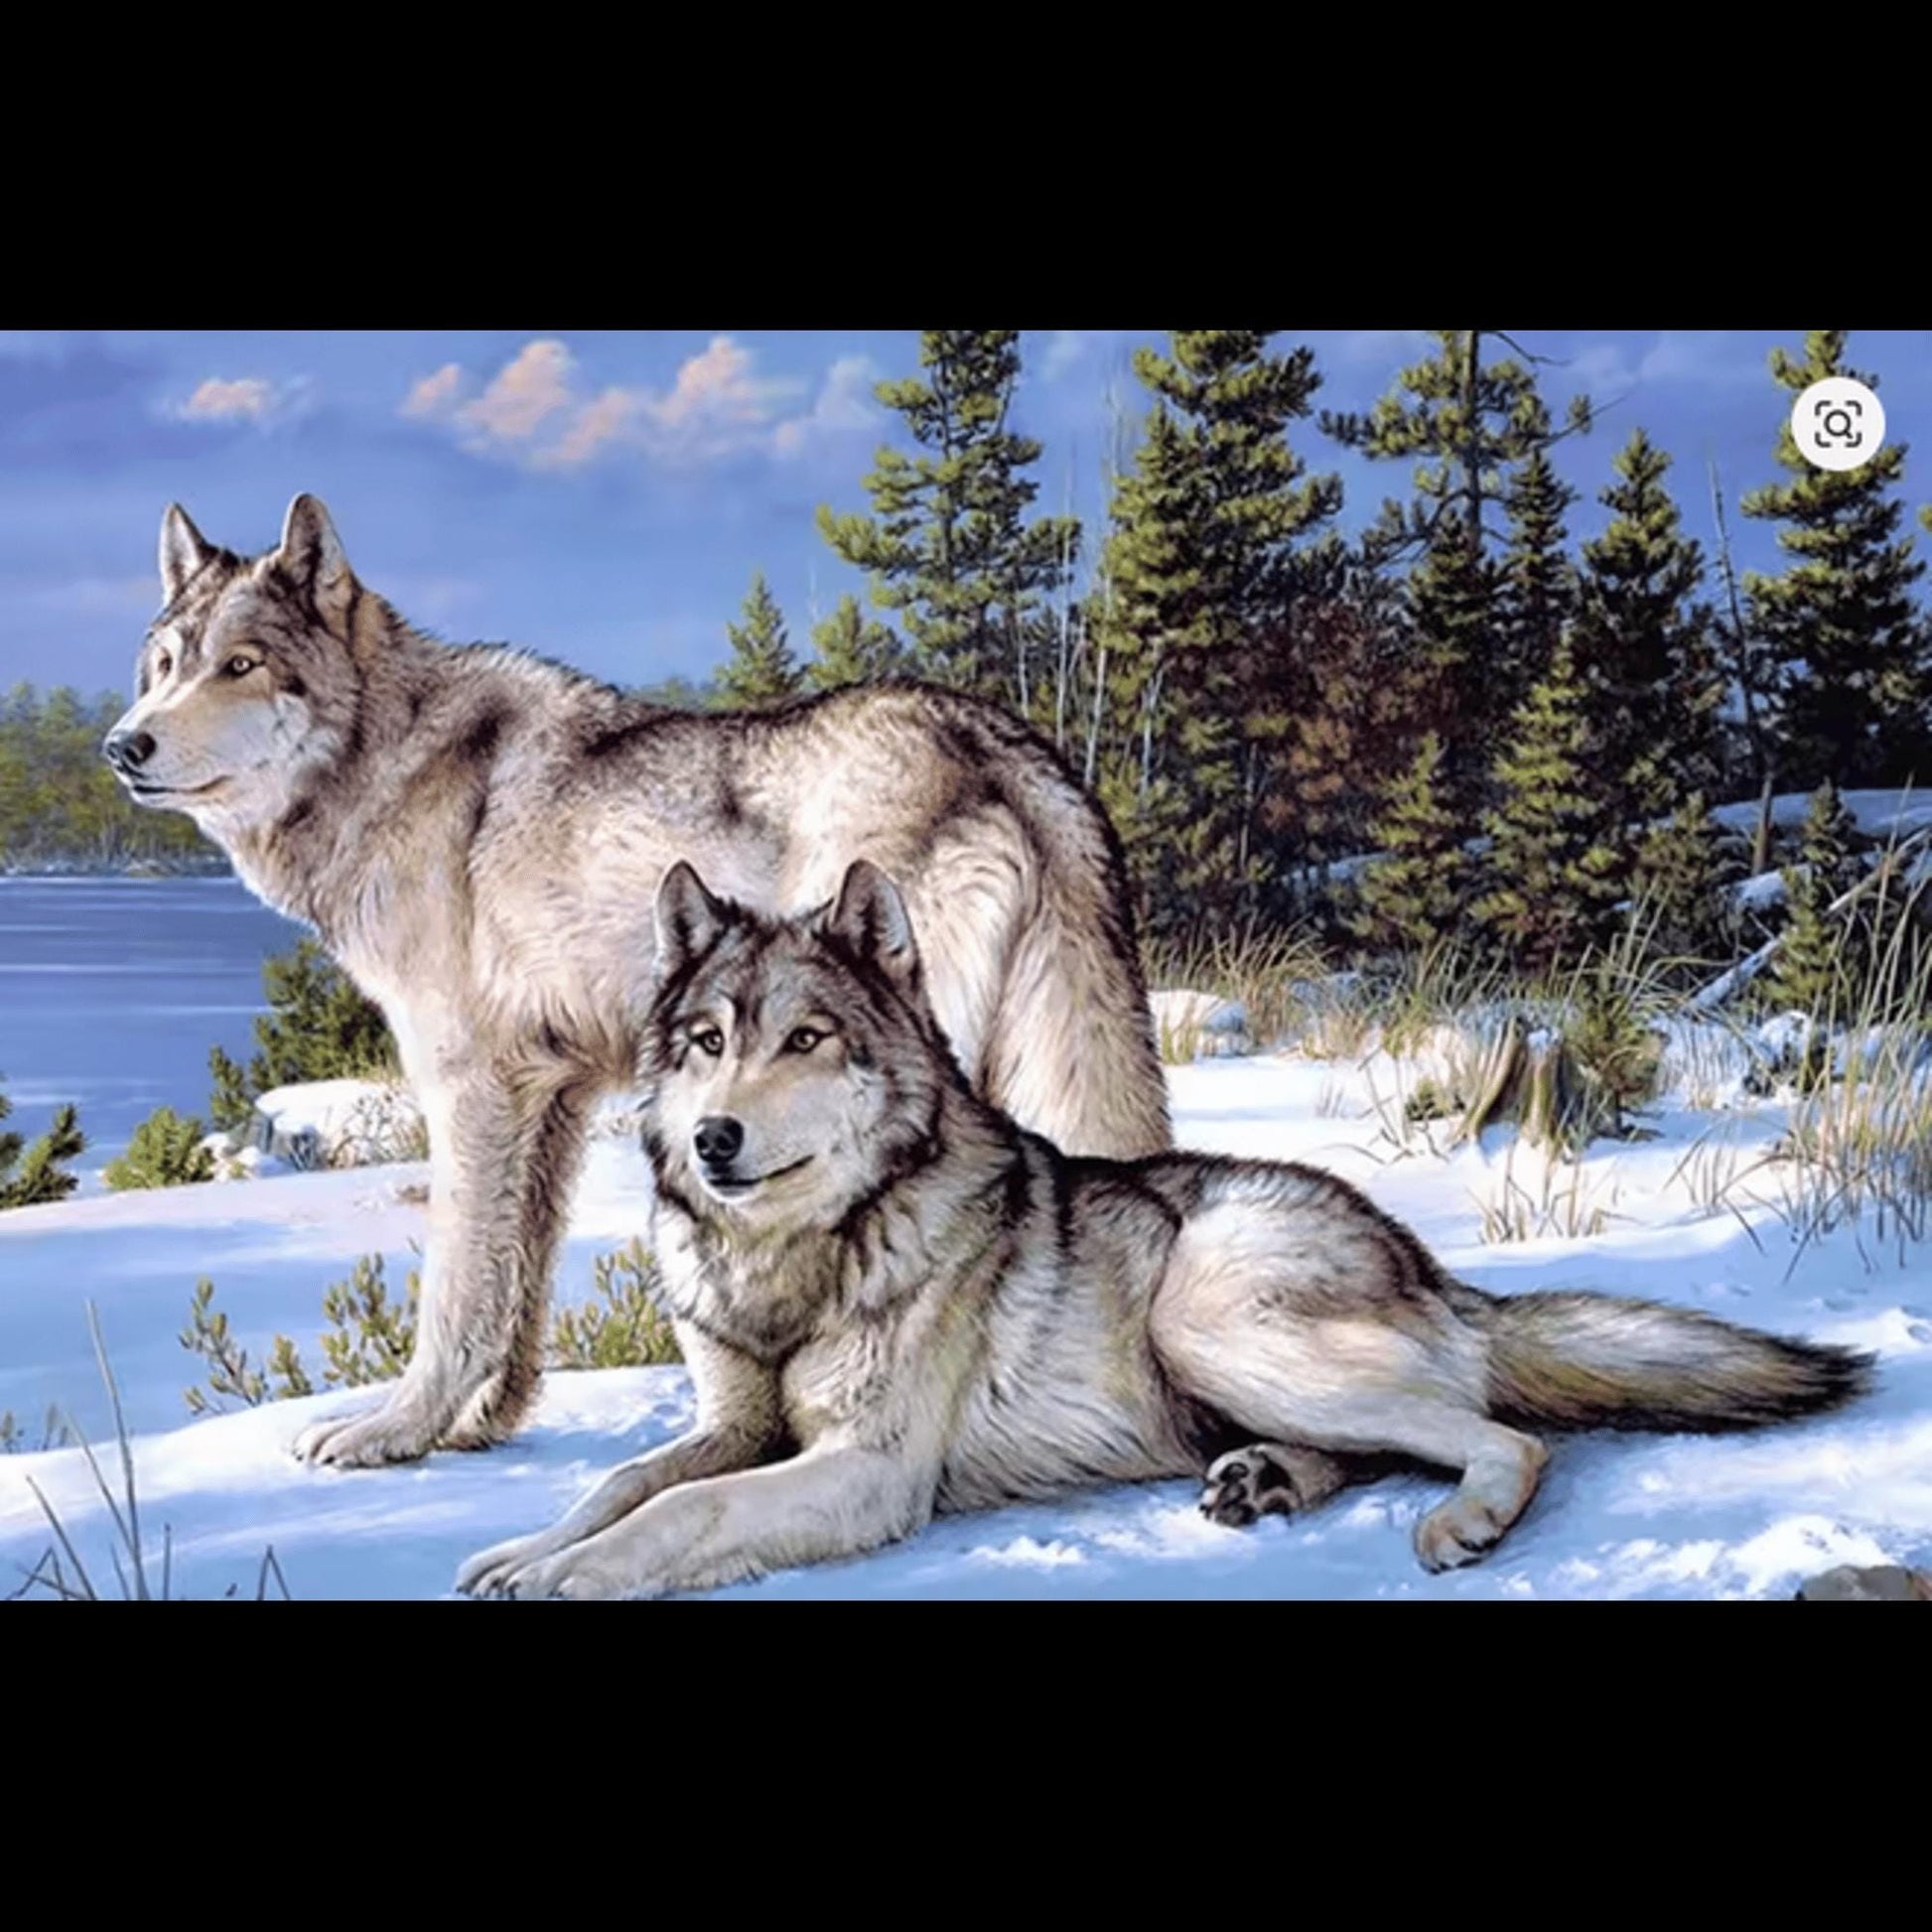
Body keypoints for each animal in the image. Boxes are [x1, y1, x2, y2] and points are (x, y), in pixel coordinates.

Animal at [101, 495, 1170, 1469]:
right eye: (164, 667)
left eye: (240, 666)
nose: (124, 744)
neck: (386, 764)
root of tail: (1002, 741)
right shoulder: (552, 1098)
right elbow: (517, 1284)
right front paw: (480, 1427)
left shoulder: (468, 1090)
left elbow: (454, 1289)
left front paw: (392, 1433)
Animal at [454, 860, 1875, 1599]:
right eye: (706, 1042)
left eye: (804, 1039)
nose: (713, 1139)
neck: (796, 1261)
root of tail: (1428, 1264)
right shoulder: (732, 1425)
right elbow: (617, 1485)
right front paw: (521, 1546)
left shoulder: (864, 1468)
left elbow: (679, 1516)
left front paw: (565, 1575)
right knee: (1388, 1440)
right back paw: (1266, 1481)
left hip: (1207, 1319)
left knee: (1505, 1436)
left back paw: (1455, 1523)